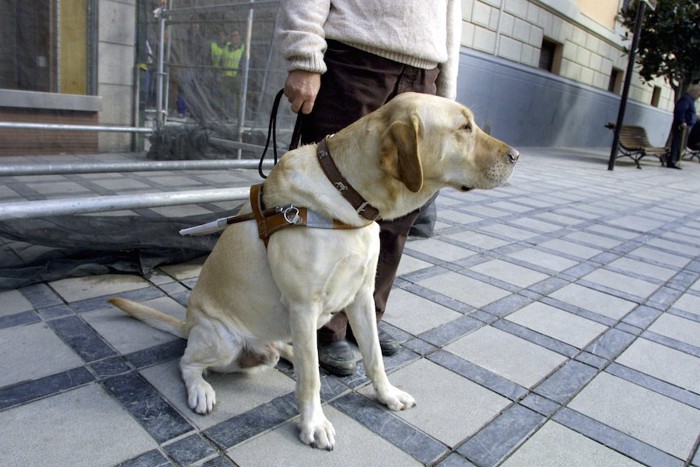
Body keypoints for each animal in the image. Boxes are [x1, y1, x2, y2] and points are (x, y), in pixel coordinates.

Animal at [106, 92, 516, 454]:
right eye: (464, 127)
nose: (515, 155)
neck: (348, 199)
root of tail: (189, 325)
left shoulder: (361, 297)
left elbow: (373, 358)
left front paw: (386, 395)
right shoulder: (304, 305)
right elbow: (312, 381)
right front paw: (314, 424)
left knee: (292, 352)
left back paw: (286, 351)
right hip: (223, 339)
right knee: (188, 363)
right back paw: (201, 390)